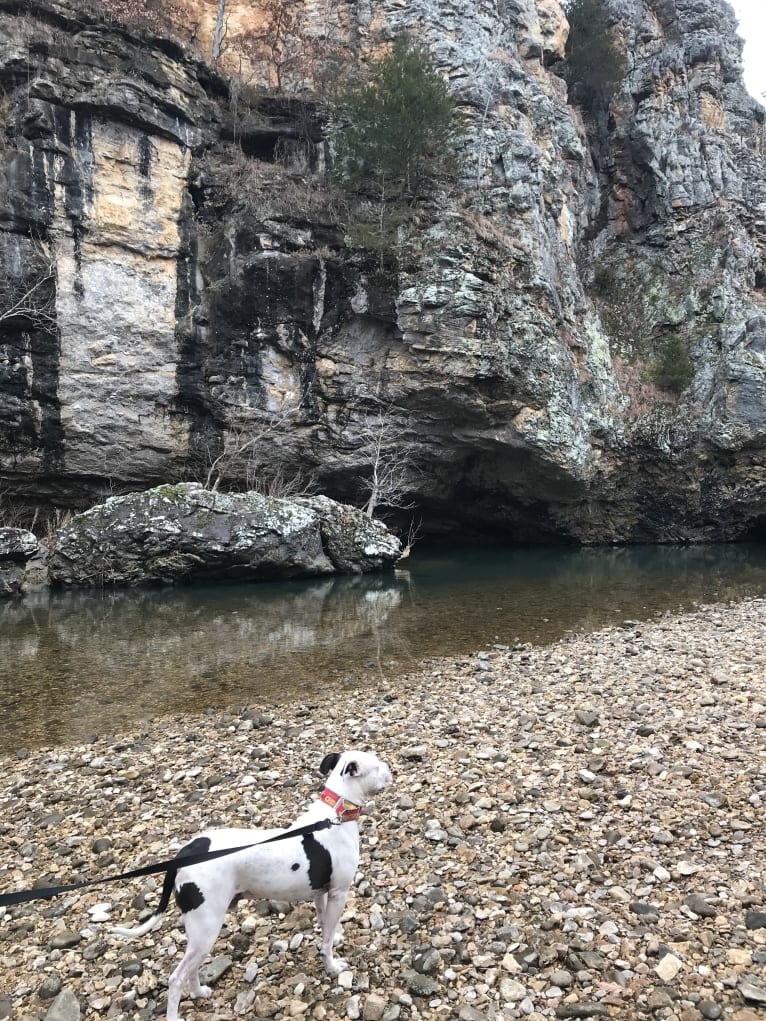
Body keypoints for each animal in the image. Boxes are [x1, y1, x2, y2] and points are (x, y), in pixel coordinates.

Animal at [110, 751, 392, 1021]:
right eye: (377, 764)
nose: (390, 766)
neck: (336, 814)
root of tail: (185, 853)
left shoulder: (321, 893)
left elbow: (325, 928)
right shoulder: (338, 893)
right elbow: (328, 939)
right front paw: (332, 967)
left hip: (199, 932)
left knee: (191, 969)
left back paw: (199, 992)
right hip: (206, 929)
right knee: (176, 977)